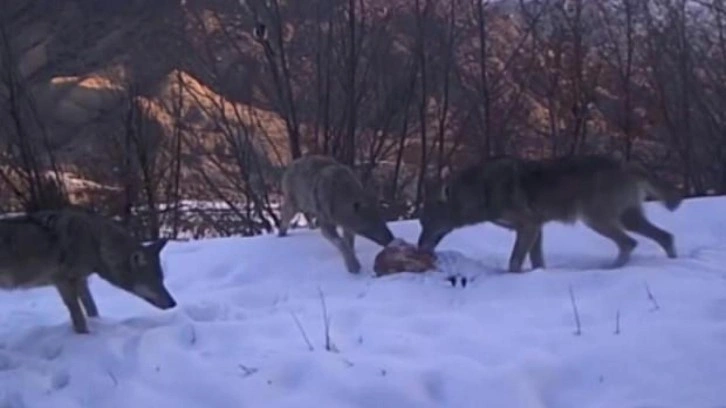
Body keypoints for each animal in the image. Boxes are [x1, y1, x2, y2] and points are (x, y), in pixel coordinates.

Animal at [0, 209, 178, 334]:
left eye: (162, 280)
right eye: (154, 281)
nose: (173, 303)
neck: (95, 243)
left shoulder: (81, 280)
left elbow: (91, 308)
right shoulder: (63, 281)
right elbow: (77, 314)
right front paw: (84, 336)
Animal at [418, 156, 684, 274]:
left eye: (427, 222)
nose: (419, 247)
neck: (482, 190)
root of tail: (627, 163)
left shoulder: (529, 226)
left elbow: (514, 262)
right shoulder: (537, 228)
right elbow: (537, 262)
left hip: (597, 221)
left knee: (630, 243)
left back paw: (610, 270)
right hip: (628, 220)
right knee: (666, 237)